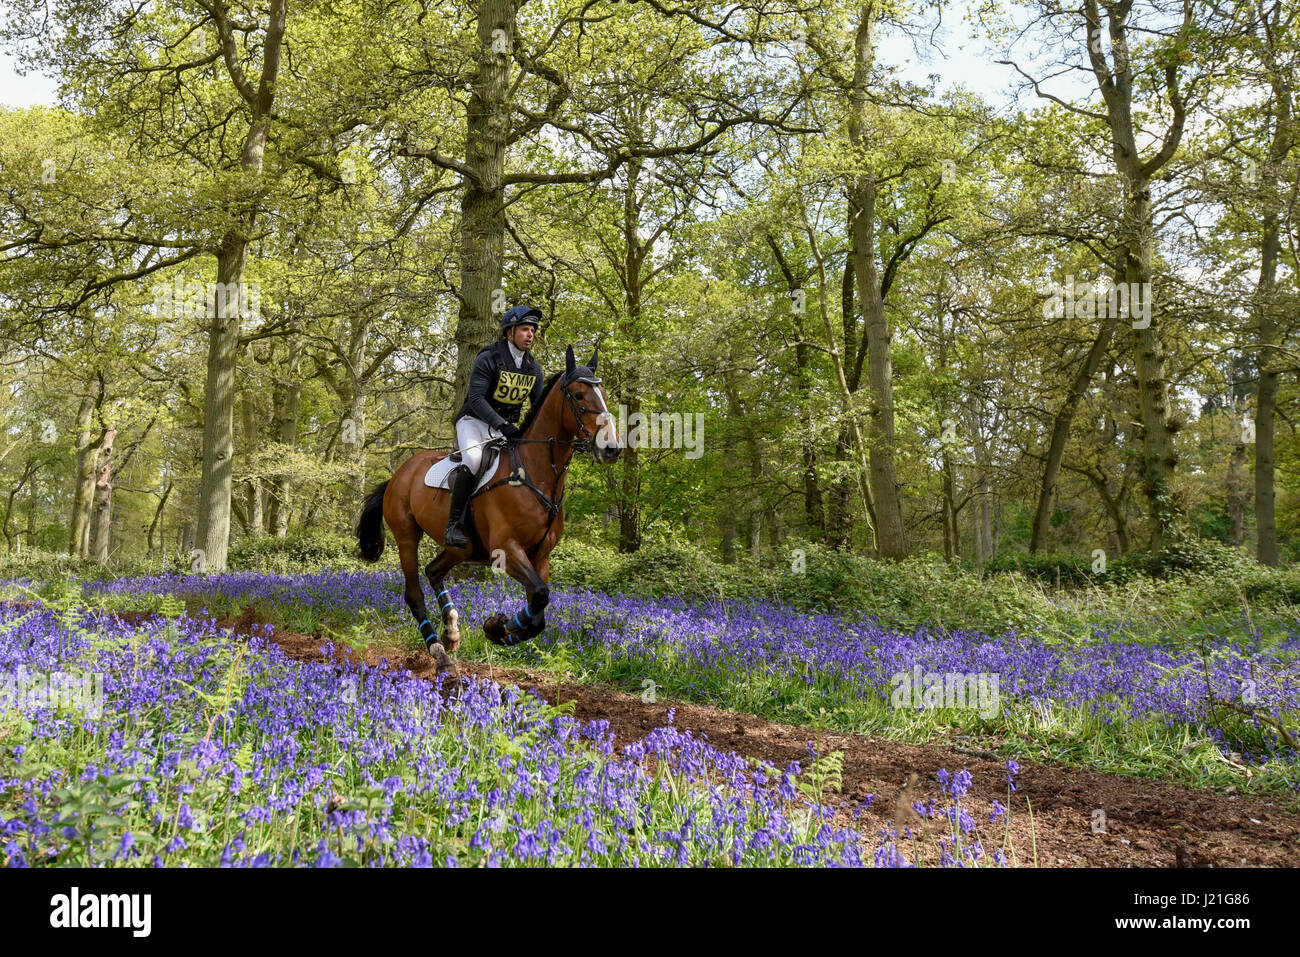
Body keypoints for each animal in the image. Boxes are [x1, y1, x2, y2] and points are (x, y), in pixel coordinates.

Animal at [353, 343, 621, 670]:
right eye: (580, 395)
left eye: (603, 394)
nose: (611, 448)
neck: (534, 474)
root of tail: (399, 474)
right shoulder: (504, 549)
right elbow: (539, 596)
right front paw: (498, 627)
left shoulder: (541, 556)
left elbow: (539, 608)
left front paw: (501, 629)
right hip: (406, 535)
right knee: (414, 593)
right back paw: (438, 652)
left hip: (463, 547)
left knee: (434, 571)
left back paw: (452, 632)